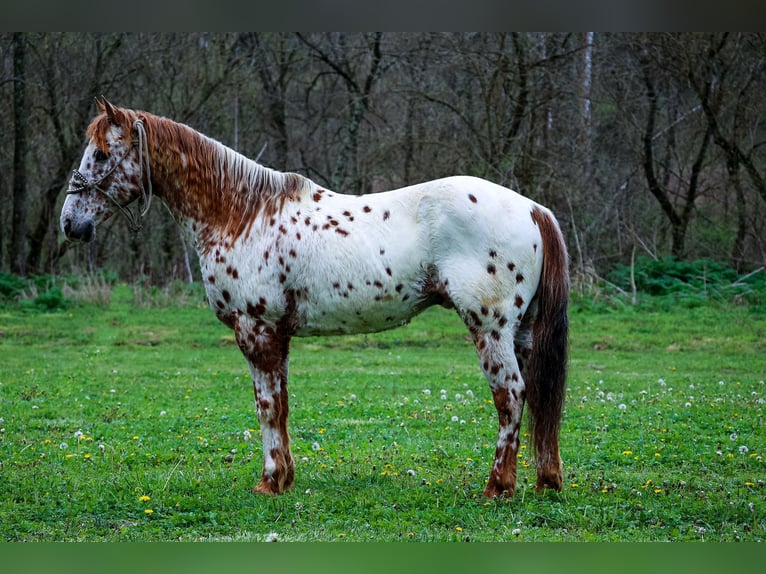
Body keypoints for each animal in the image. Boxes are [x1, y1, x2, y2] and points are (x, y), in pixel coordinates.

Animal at [61, 99, 568, 500]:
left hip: (490, 329)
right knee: (537, 397)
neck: (240, 214)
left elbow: (266, 407)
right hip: (520, 333)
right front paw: (284, 479)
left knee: (511, 396)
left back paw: (497, 487)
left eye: (101, 153)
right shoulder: (277, 336)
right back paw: (544, 482)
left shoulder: (256, 331)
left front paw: (269, 481)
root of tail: (532, 208)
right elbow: (282, 405)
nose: (70, 223)